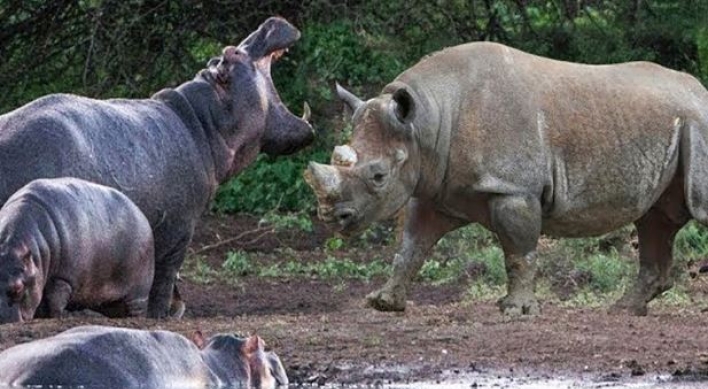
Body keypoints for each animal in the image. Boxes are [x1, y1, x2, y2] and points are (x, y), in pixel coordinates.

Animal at [0, 177, 153, 322]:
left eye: (18, 289)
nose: (4, 320)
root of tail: (142, 214)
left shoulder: (62, 278)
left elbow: (55, 302)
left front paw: (57, 317)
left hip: (138, 294)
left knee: (136, 311)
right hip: (110, 299)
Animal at [306, 41, 708, 316]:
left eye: (378, 175)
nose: (331, 217)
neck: (426, 121)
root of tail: (700, 93)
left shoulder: (512, 188)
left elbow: (518, 251)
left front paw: (516, 310)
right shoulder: (436, 190)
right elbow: (411, 247)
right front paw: (384, 302)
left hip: (698, 125)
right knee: (656, 218)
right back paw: (623, 309)